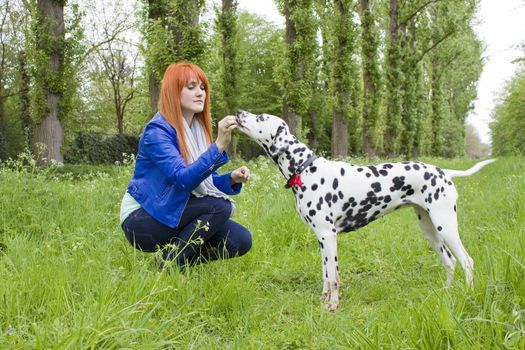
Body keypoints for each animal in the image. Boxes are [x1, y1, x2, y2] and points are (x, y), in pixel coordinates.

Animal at [236, 108, 496, 308]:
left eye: (261, 117)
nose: (238, 111)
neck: (305, 169)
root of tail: (444, 172)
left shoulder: (328, 236)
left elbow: (334, 277)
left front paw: (333, 305)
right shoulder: (321, 238)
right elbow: (326, 274)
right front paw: (323, 300)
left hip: (446, 227)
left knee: (467, 261)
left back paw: (467, 295)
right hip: (430, 230)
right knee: (450, 262)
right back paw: (447, 293)